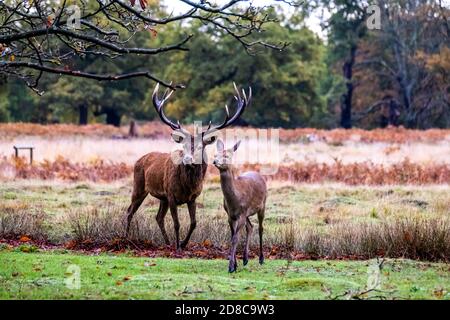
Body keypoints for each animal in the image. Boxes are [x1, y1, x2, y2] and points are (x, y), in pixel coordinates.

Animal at [125, 82, 251, 250]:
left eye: (200, 146)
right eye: (183, 146)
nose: (186, 159)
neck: (187, 186)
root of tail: (139, 160)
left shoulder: (192, 198)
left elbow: (193, 223)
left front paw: (183, 243)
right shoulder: (171, 195)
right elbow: (177, 224)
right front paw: (178, 246)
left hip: (162, 197)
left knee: (158, 217)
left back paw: (167, 243)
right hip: (139, 186)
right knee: (130, 211)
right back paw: (126, 238)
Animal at [213, 140, 266, 272]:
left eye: (226, 156)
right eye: (215, 155)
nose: (214, 161)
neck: (235, 199)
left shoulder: (242, 213)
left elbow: (235, 238)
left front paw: (231, 267)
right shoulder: (230, 215)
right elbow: (232, 237)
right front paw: (235, 264)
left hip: (262, 205)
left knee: (260, 228)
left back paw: (261, 259)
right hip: (246, 213)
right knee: (250, 227)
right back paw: (245, 259)